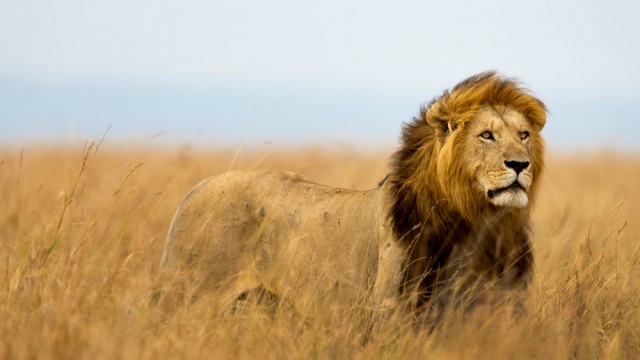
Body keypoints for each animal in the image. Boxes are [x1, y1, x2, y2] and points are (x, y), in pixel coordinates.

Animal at [159, 71, 544, 320]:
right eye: (486, 135)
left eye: (523, 135)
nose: (520, 164)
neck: (480, 223)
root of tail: (193, 191)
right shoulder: (392, 307)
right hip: (189, 295)